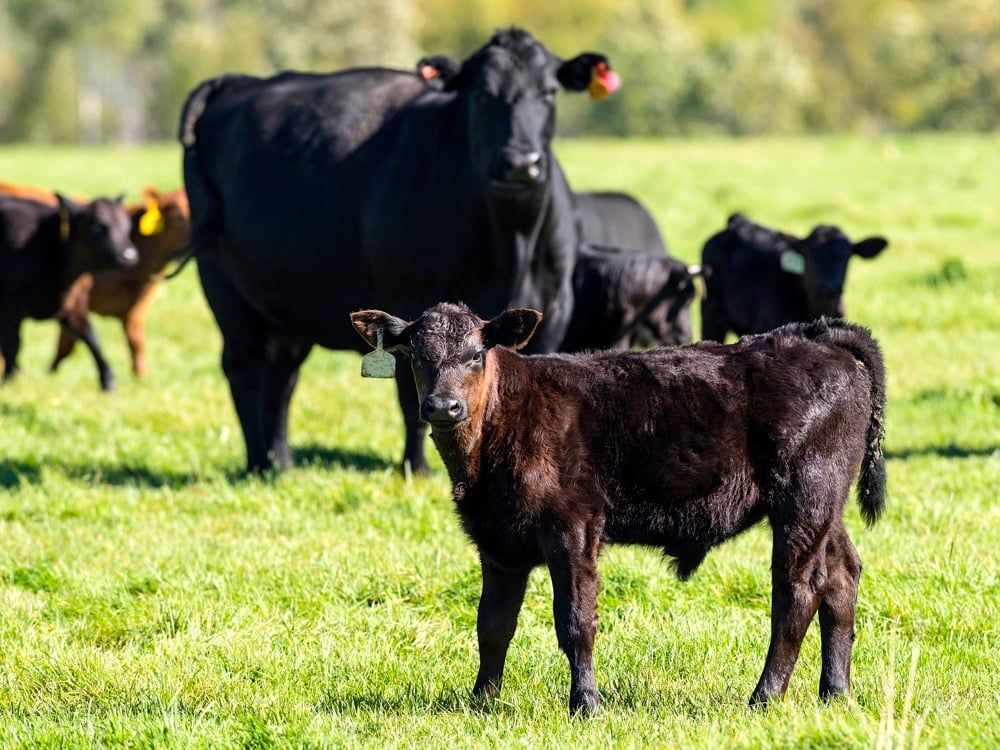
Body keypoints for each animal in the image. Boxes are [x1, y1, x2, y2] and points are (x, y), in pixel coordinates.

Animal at [0, 195, 139, 387]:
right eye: (98, 226)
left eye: (127, 225)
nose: (129, 256)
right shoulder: (9, 307)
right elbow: (12, 345)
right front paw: (10, 379)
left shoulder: (74, 302)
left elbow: (90, 336)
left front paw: (108, 381)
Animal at [180, 28, 620, 473]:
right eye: (482, 94)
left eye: (549, 92)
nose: (520, 162)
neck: (513, 244)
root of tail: (243, 83)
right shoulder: (408, 305)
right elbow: (413, 399)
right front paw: (417, 469)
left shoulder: (553, 309)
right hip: (224, 287)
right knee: (245, 368)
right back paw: (258, 462)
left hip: (285, 308)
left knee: (280, 376)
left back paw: (281, 462)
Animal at [351, 302, 887, 715]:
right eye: (416, 356)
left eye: (476, 354)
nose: (443, 407)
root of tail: (818, 335)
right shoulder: (496, 541)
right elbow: (493, 624)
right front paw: (482, 701)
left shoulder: (573, 527)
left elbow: (575, 622)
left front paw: (585, 704)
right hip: (826, 509)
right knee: (842, 576)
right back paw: (835, 694)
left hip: (805, 496)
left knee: (797, 592)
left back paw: (764, 697)